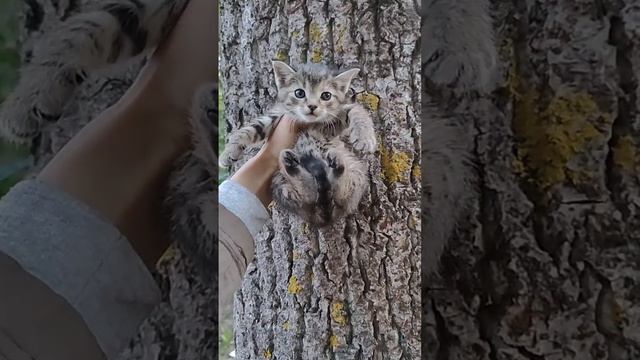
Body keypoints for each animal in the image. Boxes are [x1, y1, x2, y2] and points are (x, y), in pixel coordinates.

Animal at [222, 62, 378, 225]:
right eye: (299, 93)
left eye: (326, 95)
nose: (312, 106)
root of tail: (324, 214)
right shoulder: (279, 114)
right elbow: (252, 127)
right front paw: (229, 152)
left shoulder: (334, 121)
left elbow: (357, 111)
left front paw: (364, 138)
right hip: (280, 182)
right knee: (308, 197)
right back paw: (293, 168)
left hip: (357, 174)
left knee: (341, 195)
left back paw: (337, 167)